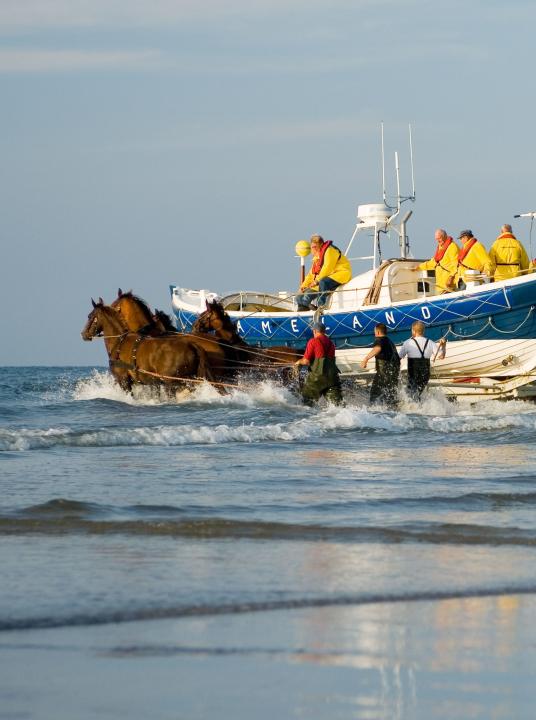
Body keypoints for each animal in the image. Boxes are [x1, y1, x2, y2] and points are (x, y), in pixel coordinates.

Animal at [80, 300, 215, 394]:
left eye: (90, 316)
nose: (83, 334)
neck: (119, 341)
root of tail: (193, 345)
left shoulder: (123, 380)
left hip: (172, 381)